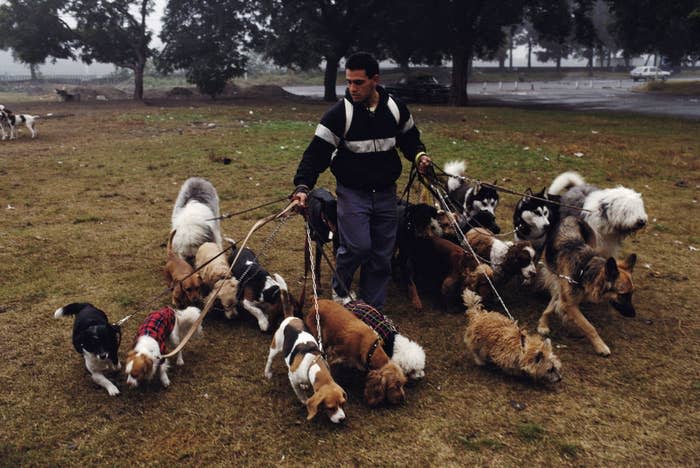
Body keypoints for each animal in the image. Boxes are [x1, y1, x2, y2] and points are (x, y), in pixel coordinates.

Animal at [540, 216, 636, 354]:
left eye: (632, 293)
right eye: (623, 295)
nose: (633, 315)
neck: (584, 269)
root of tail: (572, 217)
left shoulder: (565, 294)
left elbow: (555, 305)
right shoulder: (567, 300)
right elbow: (589, 326)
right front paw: (600, 346)